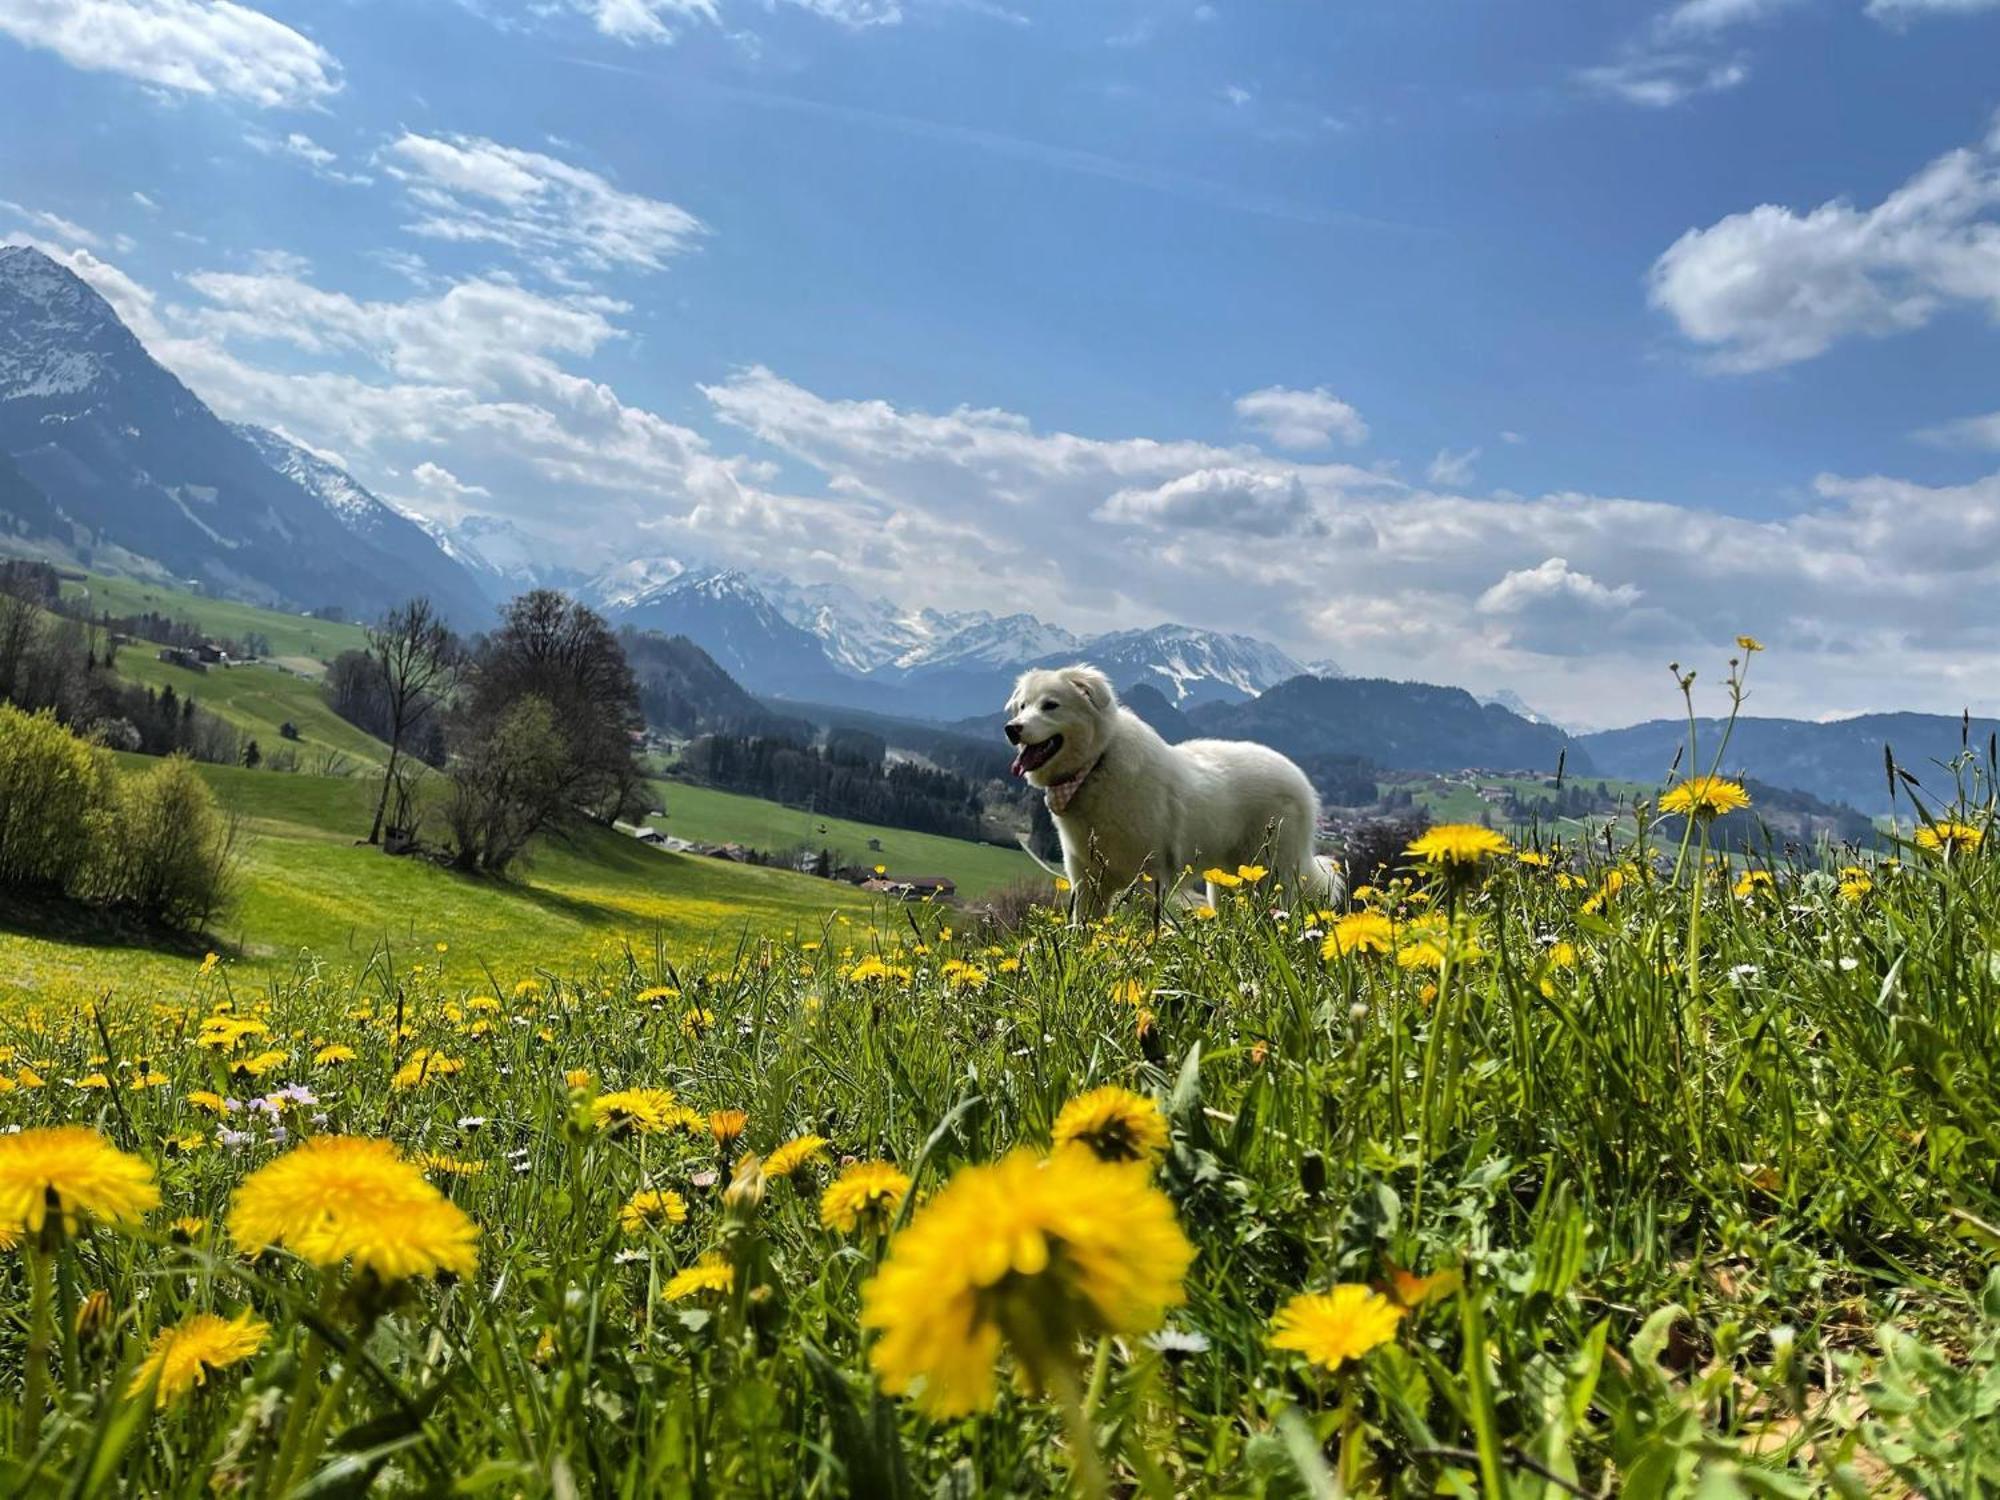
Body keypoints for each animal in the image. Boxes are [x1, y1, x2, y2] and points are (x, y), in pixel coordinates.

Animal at [1000, 668, 1344, 924]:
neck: (1096, 763)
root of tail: (1301, 782)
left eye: (1050, 705)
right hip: (1227, 883)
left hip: (1270, 874)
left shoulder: (1148, 877)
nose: (1012, 729)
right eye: (1023, 706)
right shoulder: (1086, 880)